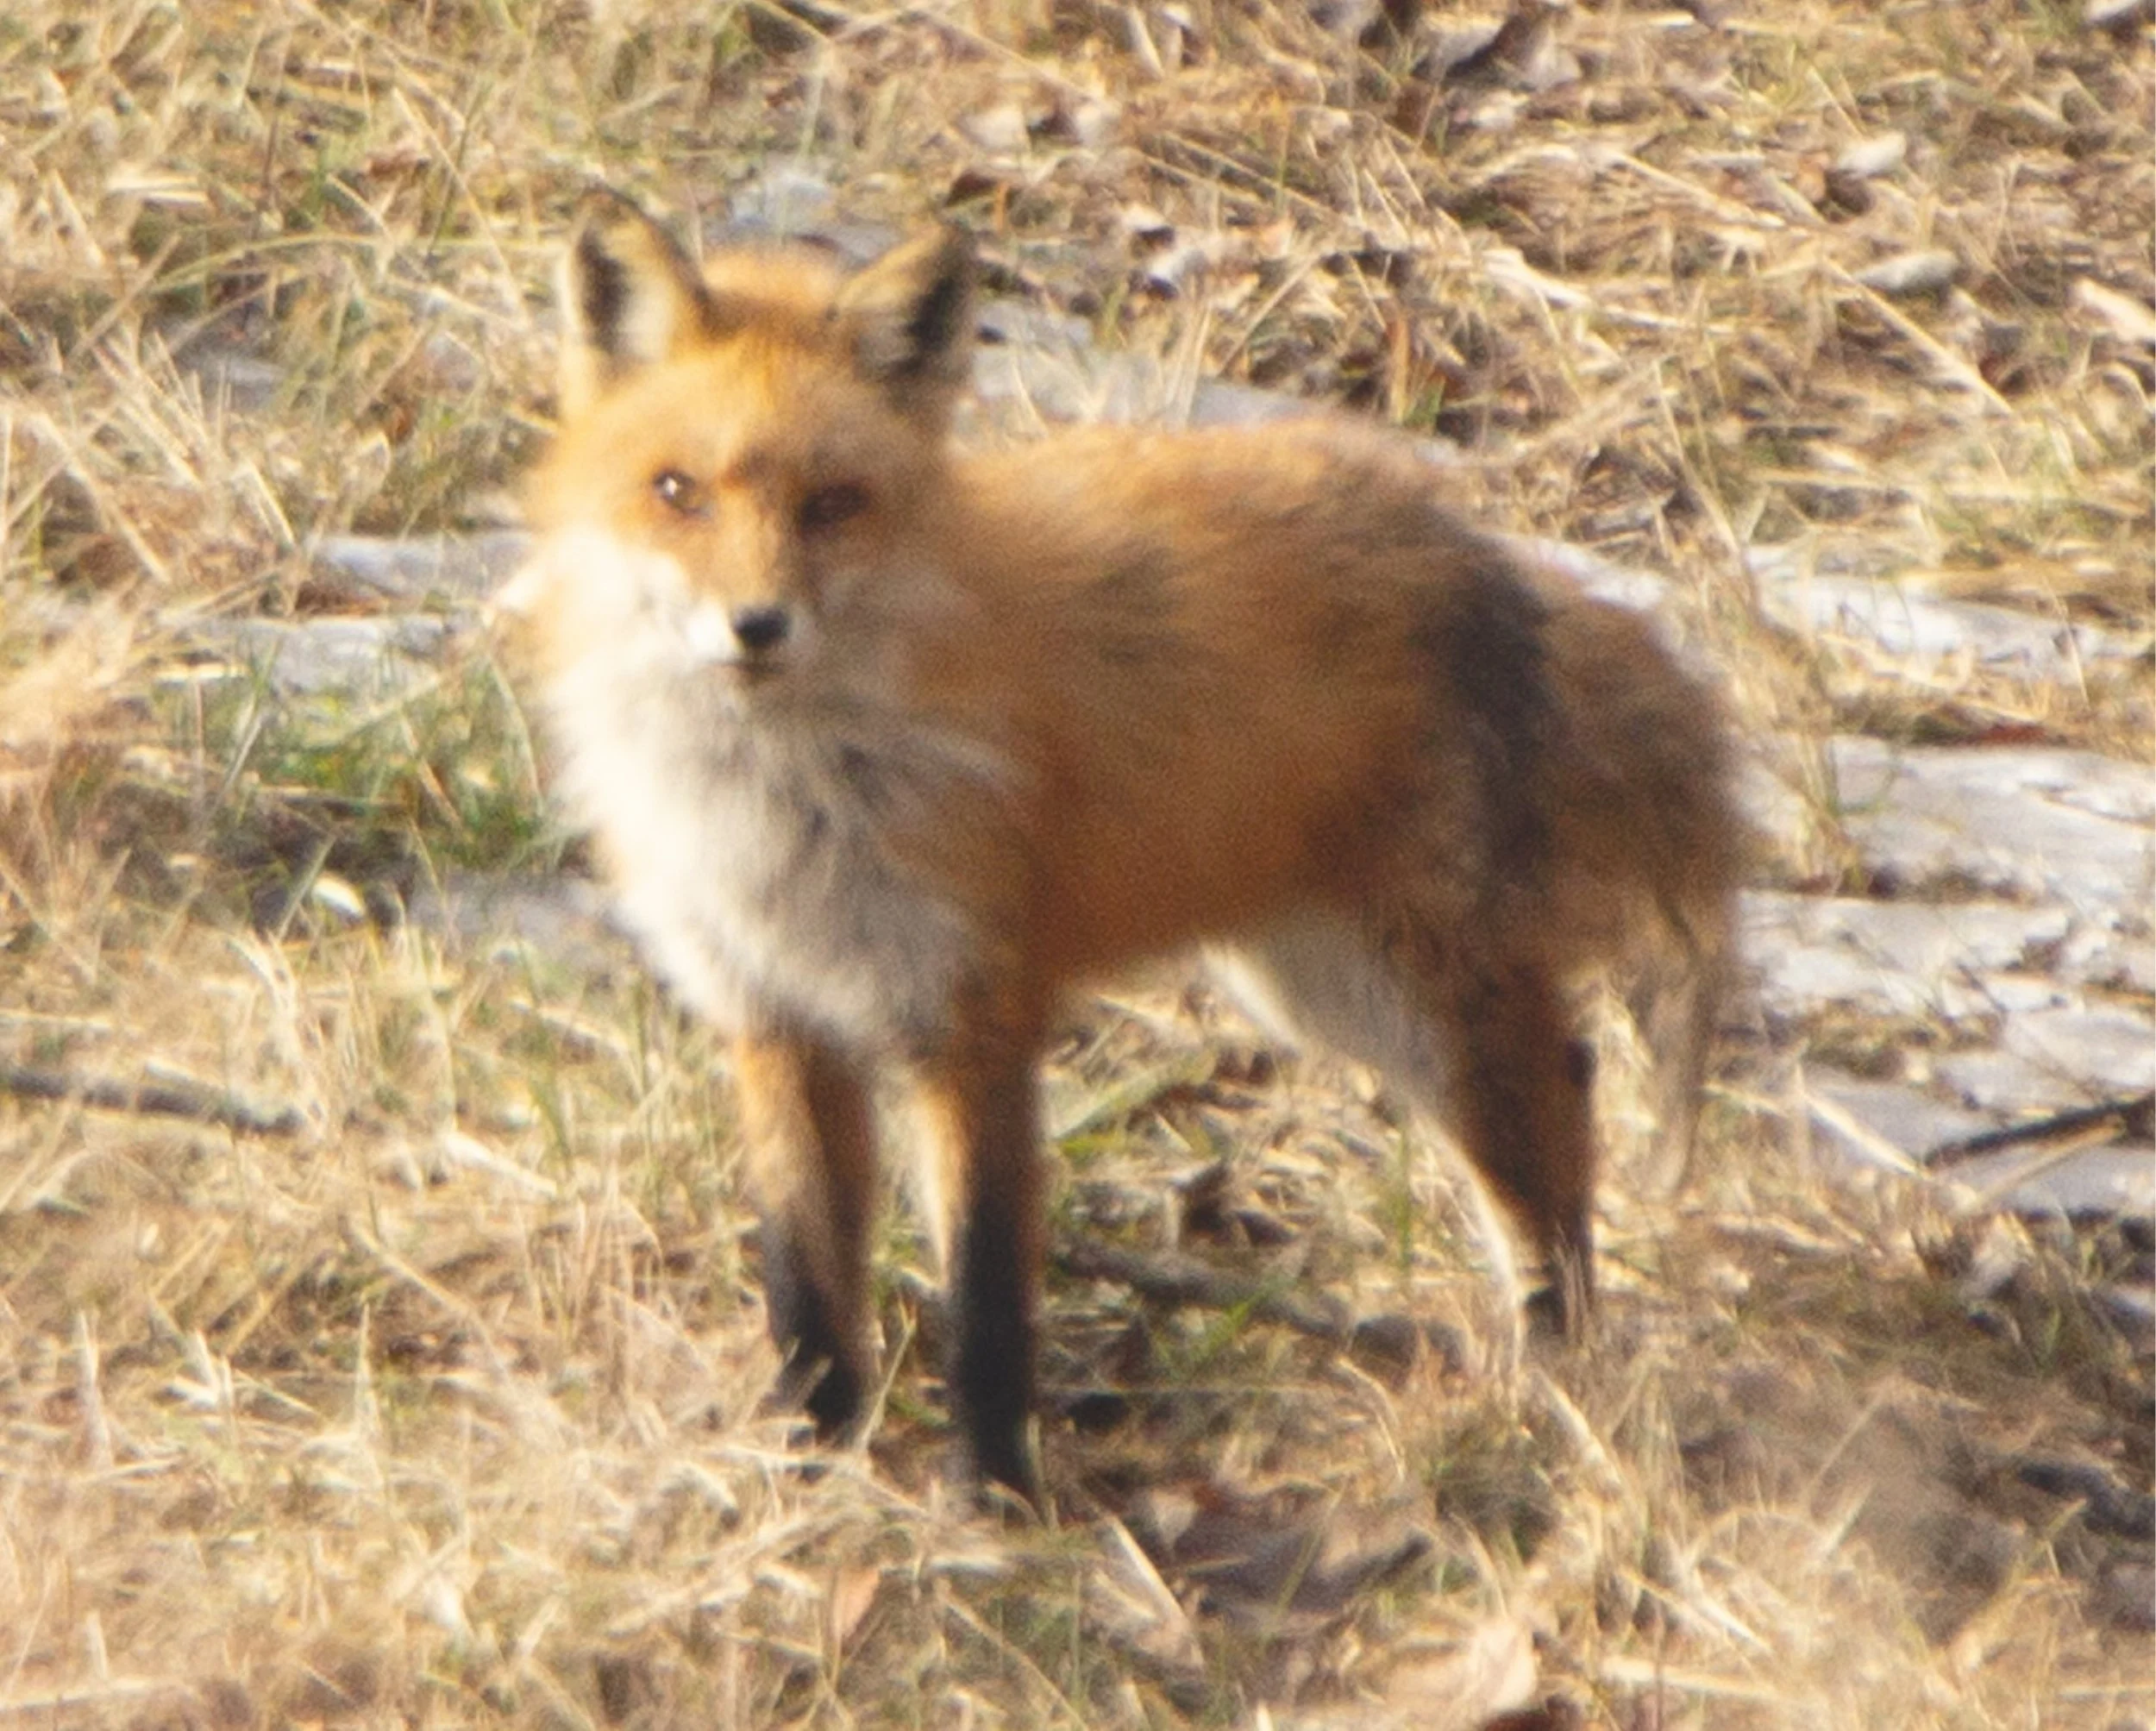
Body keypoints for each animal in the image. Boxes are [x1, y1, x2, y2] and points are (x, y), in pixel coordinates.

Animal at [509, 188, 1744, 1501]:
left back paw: (1561, 1367)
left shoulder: (974, 1017)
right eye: (677, 490)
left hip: (1407, 991)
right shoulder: (772, 1014)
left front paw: (992, 1494)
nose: (755, 627)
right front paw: (809, 1459)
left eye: (831, 504)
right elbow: (802, 1277)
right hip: (1313, 982)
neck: (781, 799)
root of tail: (1473, 545)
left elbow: (984, 1291)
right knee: (1553, 1088)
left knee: (1556, 1093)